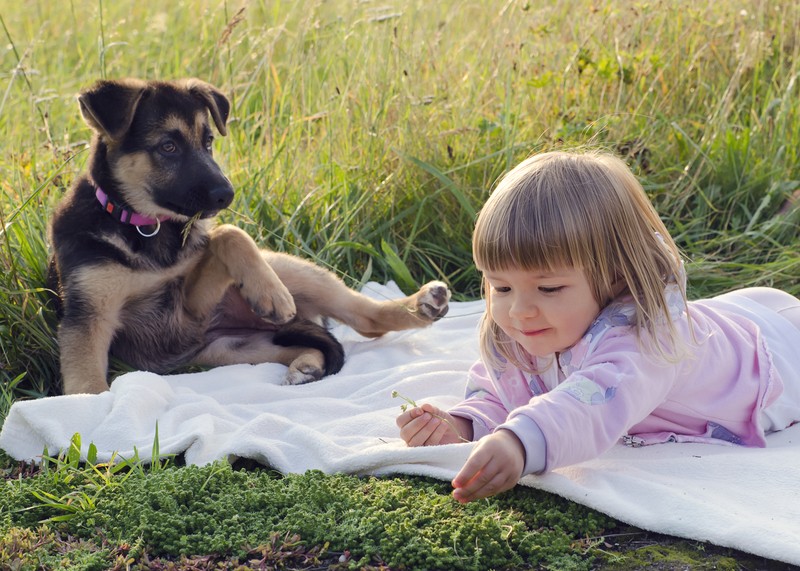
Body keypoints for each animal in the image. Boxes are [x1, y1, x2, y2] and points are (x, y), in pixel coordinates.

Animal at [48, 78, 450, 396]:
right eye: (168, 146)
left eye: (209, 141)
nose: (227, 195)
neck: (146, 226)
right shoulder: (89, 317)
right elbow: (87, 385)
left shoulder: (190, 307)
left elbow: (228, 233)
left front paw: (270, 294)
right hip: (233, 348)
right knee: (311, 344)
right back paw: (307, 366)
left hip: (289, 273)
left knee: (365, 319)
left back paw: (420, 304)